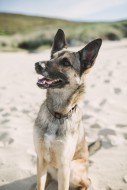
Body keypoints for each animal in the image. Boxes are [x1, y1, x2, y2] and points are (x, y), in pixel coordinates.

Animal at [33, 28, 101, 190]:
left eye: (65, 63)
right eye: (51, 57)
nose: (37, 65)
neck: (57, 114)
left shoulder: (64, 166)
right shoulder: (40, 158)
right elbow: (40, 183)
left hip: (73, 168)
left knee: (87, 181)